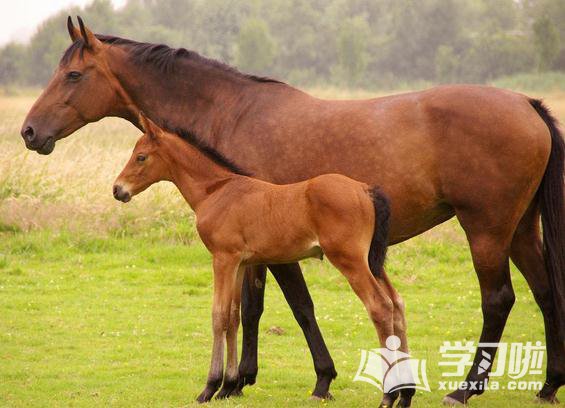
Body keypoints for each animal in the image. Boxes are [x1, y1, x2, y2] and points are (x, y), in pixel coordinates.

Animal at [113, 114, 396, 402]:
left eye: (141, 157)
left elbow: (218, 315)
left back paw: (389, 394)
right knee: (395, 306)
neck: (216, 191)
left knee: (380, 307)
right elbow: (233, 316)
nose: (117, 189)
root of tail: (365, 189)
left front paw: (210, 387)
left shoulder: (223, 259)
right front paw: (229, 384)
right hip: (370, 262)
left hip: (350, 260)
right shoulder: (240, 263)